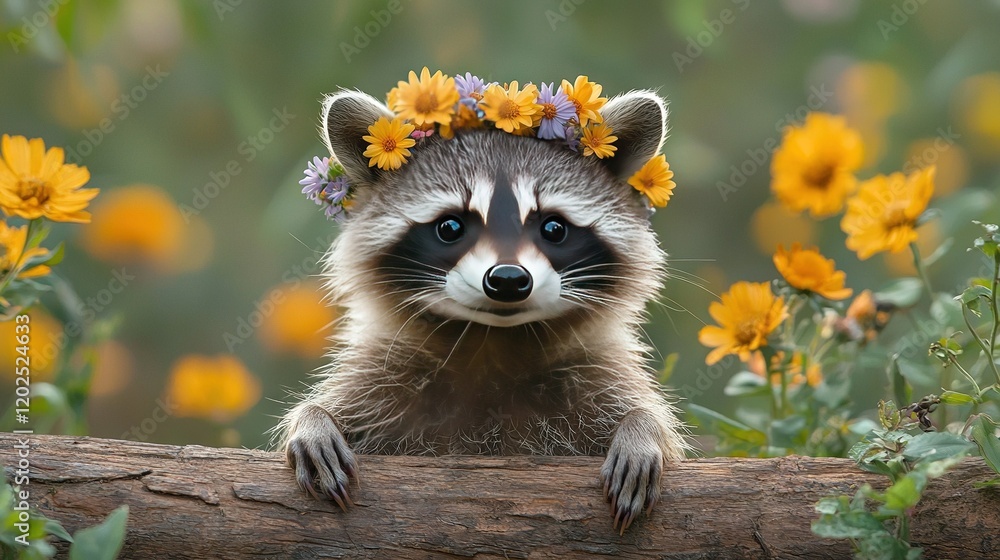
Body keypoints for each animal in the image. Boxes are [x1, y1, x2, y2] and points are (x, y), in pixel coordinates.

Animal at [277, 88, 688, 532]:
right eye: (450, 227)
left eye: (554, 228)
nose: (507, 279)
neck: (491, 340)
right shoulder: (381, 379)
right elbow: (336, 406)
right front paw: (313, 420)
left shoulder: (597, 376)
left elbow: (648, 419)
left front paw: (641, 429)